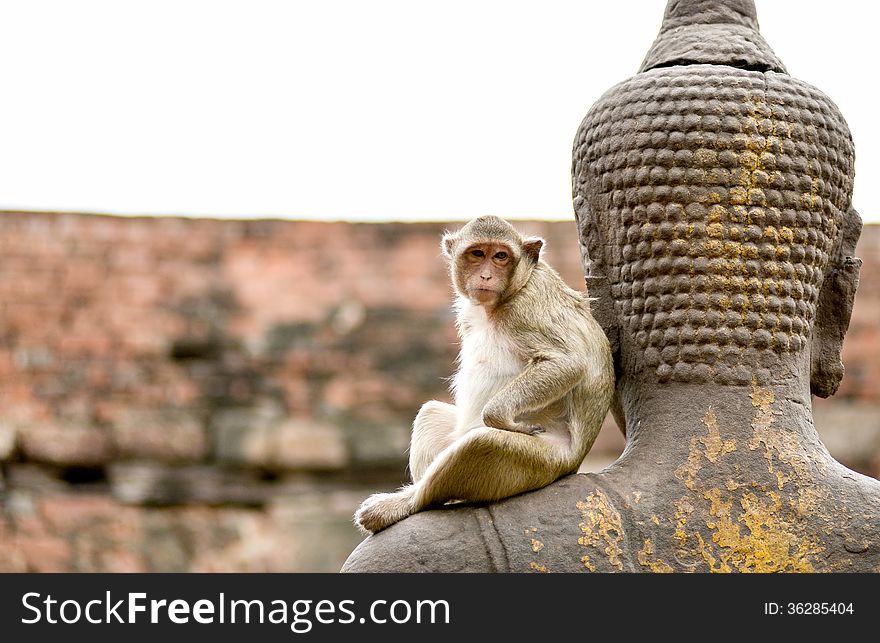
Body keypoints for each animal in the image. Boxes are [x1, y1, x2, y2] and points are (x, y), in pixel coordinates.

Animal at [354, 215, 616, 532]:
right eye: (477, 254)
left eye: (501, 256)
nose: (487, 276)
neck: (508, 294)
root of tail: (573, 464)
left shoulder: (528, 306)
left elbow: (568, 362)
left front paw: (500, 417)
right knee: (431, 414)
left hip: (543, 463)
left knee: (481, 443)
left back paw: (408, 503)